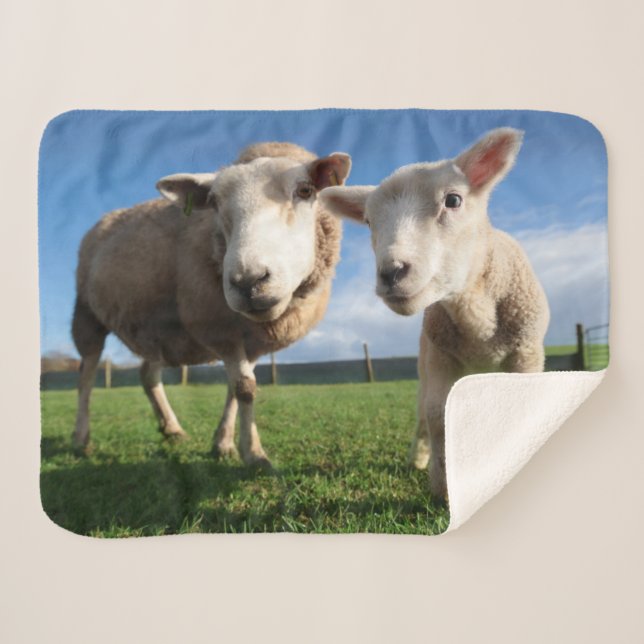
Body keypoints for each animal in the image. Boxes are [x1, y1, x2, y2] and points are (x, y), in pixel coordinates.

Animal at [72, 142, 351, 467]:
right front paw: (254, 454)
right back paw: (81, 438)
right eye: (214, 203)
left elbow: (237, 387)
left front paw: (224, 443)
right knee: (86, 376)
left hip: (157, 327)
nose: (248, 281)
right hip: (87, 314)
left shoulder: (250, 340)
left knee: (147, 375)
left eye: (305, 190)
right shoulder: (220, 330)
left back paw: (172, 429)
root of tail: (106, 218)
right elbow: (245, 389)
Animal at [319, 128, 549, 498]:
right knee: (422, 414)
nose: (391, 273)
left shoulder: (526, 354)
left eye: (453, 200)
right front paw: (443, 486)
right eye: (368, 221)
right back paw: (418, 458)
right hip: (424, 363)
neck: (476, 314)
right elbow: (436, 415)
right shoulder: (442, 357)